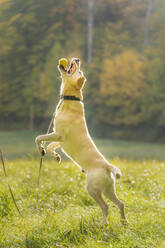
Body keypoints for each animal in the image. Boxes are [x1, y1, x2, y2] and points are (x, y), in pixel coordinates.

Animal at [35, 57, 127, 225]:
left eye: (79, 71)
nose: (77, 59)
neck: (71, 99)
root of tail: (107, 166)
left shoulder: (59, 134)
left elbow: (39, 138)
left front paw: (41, 150)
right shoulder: (59, 139)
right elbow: (51, 146)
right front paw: (56, 156)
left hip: (93, 189)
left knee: (105, 207)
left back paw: (103, 225)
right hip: (108, 189)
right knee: (120, 203)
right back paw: (124, 222)